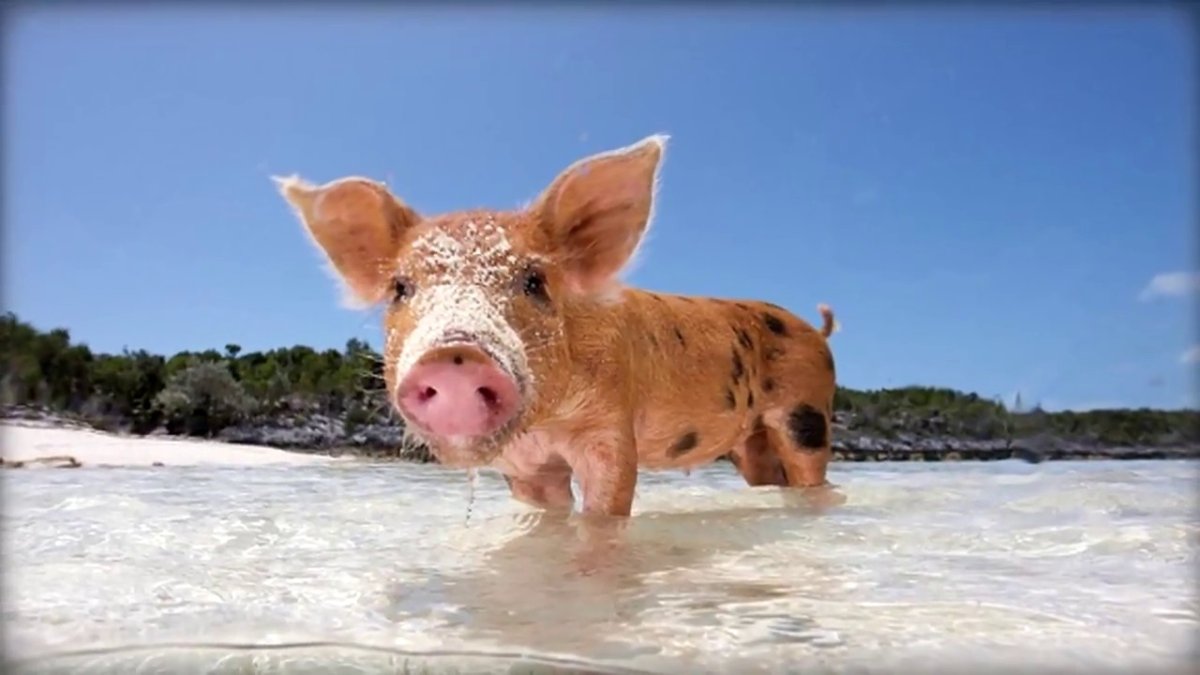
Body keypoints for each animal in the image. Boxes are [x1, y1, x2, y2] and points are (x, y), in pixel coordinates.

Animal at [275, 134, 839, 518]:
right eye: (399, 288)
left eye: (535, 281)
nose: (456, 354)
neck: (544, 425)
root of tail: (816, 332)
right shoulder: (525, 465)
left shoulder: (610, 429)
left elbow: (605, 510)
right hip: (752, 443)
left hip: (808, 413)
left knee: (812, 475)